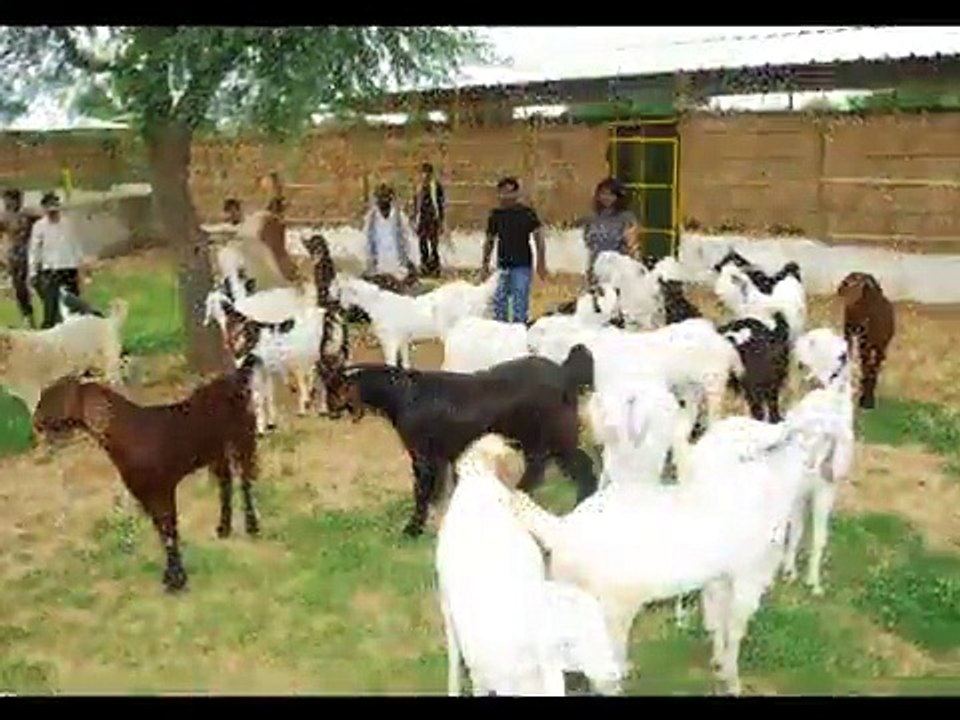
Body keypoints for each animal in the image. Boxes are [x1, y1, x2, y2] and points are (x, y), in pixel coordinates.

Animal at [32, 355, 263, 593]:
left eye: (53, 396)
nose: (37, 421)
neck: (130, 432)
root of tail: (237, 378)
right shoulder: (142, 490)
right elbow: (161, 531)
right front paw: (171, 577)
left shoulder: (162, 487)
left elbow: (169, 529)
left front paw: (177, 581)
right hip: (216, 451)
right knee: (225, 483)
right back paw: (223, 528)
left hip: (243, 439)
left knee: (245, 481)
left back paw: (252, 527)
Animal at [324, 346, 598, 537]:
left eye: (333, 389)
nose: (326, 411)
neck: (404, 393)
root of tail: (564, 372)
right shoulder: (440, 457)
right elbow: (438, 492)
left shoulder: (423, 457)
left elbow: (422, 492)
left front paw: (412, 529)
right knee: (563, 467)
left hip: (551, 436)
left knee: (568, 468)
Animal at [836, 272, 895, 410]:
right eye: (848, 280)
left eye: (855, 281)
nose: (839, 289)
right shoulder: (861, 343)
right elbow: (866, 368)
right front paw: (866, 398)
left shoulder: (879, 347)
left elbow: (872, 369)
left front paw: (868, 398)